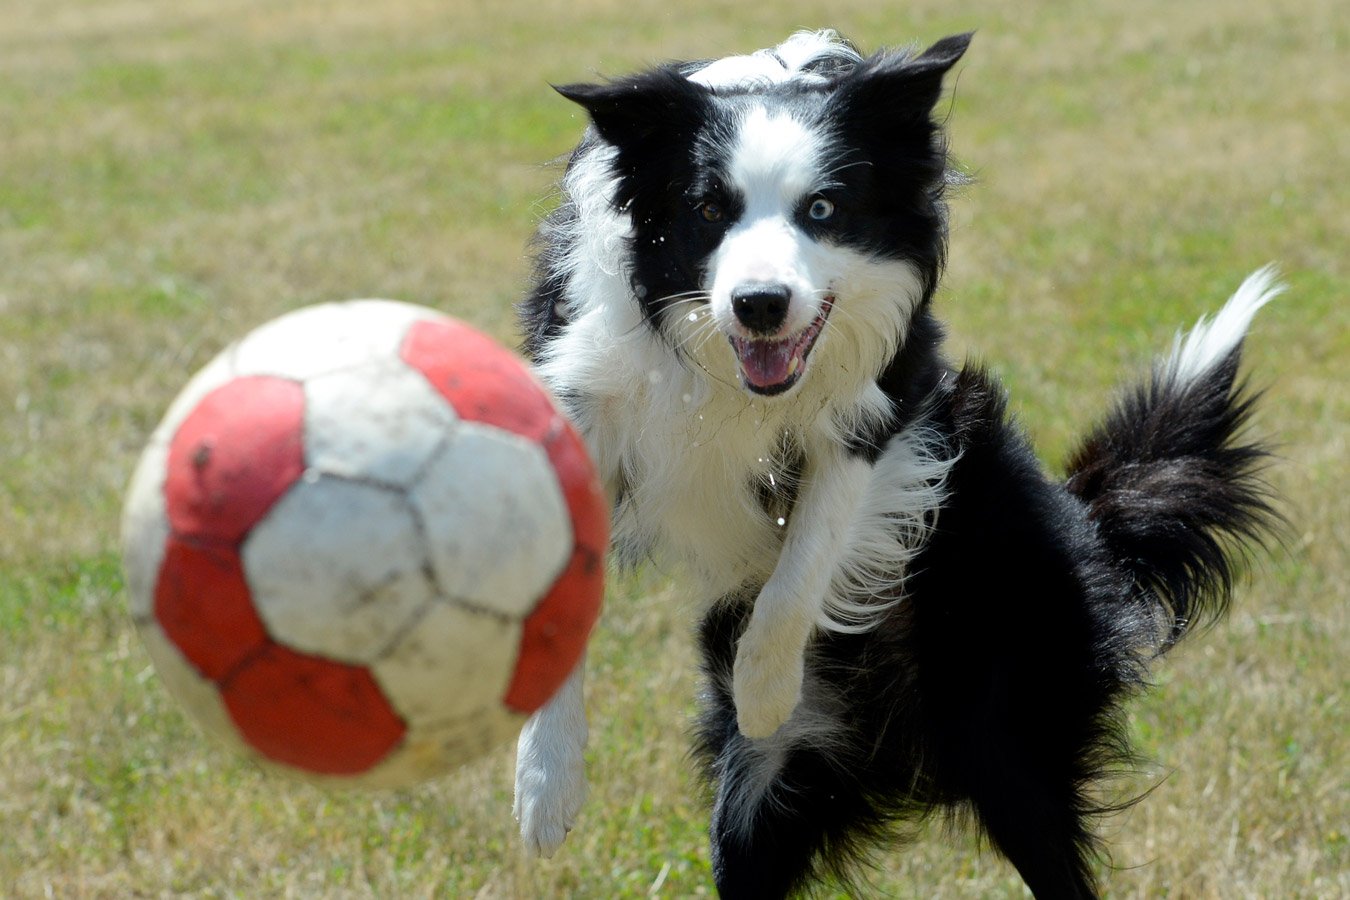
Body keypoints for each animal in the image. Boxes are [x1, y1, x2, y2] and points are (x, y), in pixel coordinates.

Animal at [507, 28, 1274, 900]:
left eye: (822, 209)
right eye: (708, 210)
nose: (760, 305)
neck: (724, 370)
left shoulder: (891, 403)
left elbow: (800, 569)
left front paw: (763, 690)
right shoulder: (585, 395)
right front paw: (546, 783)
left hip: (1013, 738)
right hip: (762, 809)